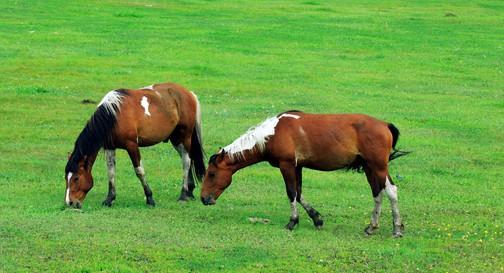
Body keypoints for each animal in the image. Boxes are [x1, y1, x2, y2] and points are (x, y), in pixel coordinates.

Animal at [64, 82, 206, 207]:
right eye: (66, 177)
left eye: (76, 178)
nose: (69, 202)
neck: (114, 116)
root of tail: (189, 93)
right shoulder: (110, 147)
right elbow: (111, 172)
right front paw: (109, 199)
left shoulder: (132, 145)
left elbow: (139, 171)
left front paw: (149, 198)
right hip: (176, 139)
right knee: (189, 159)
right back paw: (190, 191)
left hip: (184, 137)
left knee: (186, 161)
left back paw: (183, 194)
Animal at [201, 110, 410, 236]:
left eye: (211, 174)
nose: (204, 199)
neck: (272, 133)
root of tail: (384, 124)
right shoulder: (297, 167)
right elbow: (299, 194)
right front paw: (317, 218)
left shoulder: (286, 165)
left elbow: (291, 193)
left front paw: (292, 222)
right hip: (369, 168)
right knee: (377, 193)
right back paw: (372, 226)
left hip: (378, 167)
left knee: (390, 191)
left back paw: (396, 229)